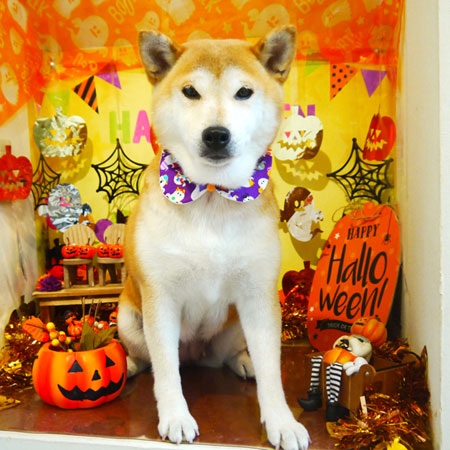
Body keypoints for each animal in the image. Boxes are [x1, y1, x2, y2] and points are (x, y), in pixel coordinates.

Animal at [117, 25, 310, 450]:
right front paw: (175, 416)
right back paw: (131, 364)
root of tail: (195, 354)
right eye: (191, 91)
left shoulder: (258, 294)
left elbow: (273, 372)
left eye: (244, 92)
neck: (210, 193)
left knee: (229, 355)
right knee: (151, 358)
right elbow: (166, 371)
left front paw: (281, 421)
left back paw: (243, 362)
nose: (217, 135)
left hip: (235, 324)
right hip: (128, 319)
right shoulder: (161, 297)